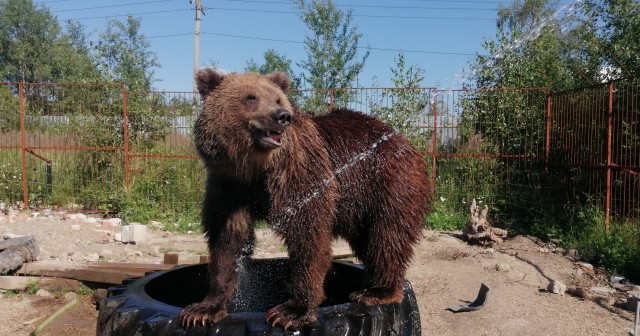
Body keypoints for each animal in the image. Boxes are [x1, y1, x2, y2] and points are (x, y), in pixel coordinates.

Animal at [178, 69, 432, 330]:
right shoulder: (228, 185)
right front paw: (203, 309)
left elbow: (307, 234)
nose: (282, 116)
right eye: (251, 97)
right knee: (369, 240)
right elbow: (226, 239)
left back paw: (376, 291)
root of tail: (406, 143)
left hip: (388, 184)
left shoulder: (299, 173)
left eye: (277, 99)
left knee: (386, 237)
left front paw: (292, 310)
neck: (254, 167)